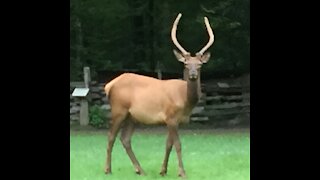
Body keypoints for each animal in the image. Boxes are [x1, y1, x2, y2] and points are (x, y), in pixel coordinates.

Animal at [105, 12, 214, 177]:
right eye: (186, 64)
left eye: (200, 65)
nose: (193, 75)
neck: (185, 100)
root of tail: (109, 85)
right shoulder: (170, 116)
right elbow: (178, 144)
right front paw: (182, 172)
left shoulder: (175, 120)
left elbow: (168, 144)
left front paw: (163, 171)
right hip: (118, 109)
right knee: (111, 136)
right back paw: (108, 169)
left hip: (132, 116)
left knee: (125, 139)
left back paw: (140, 170)